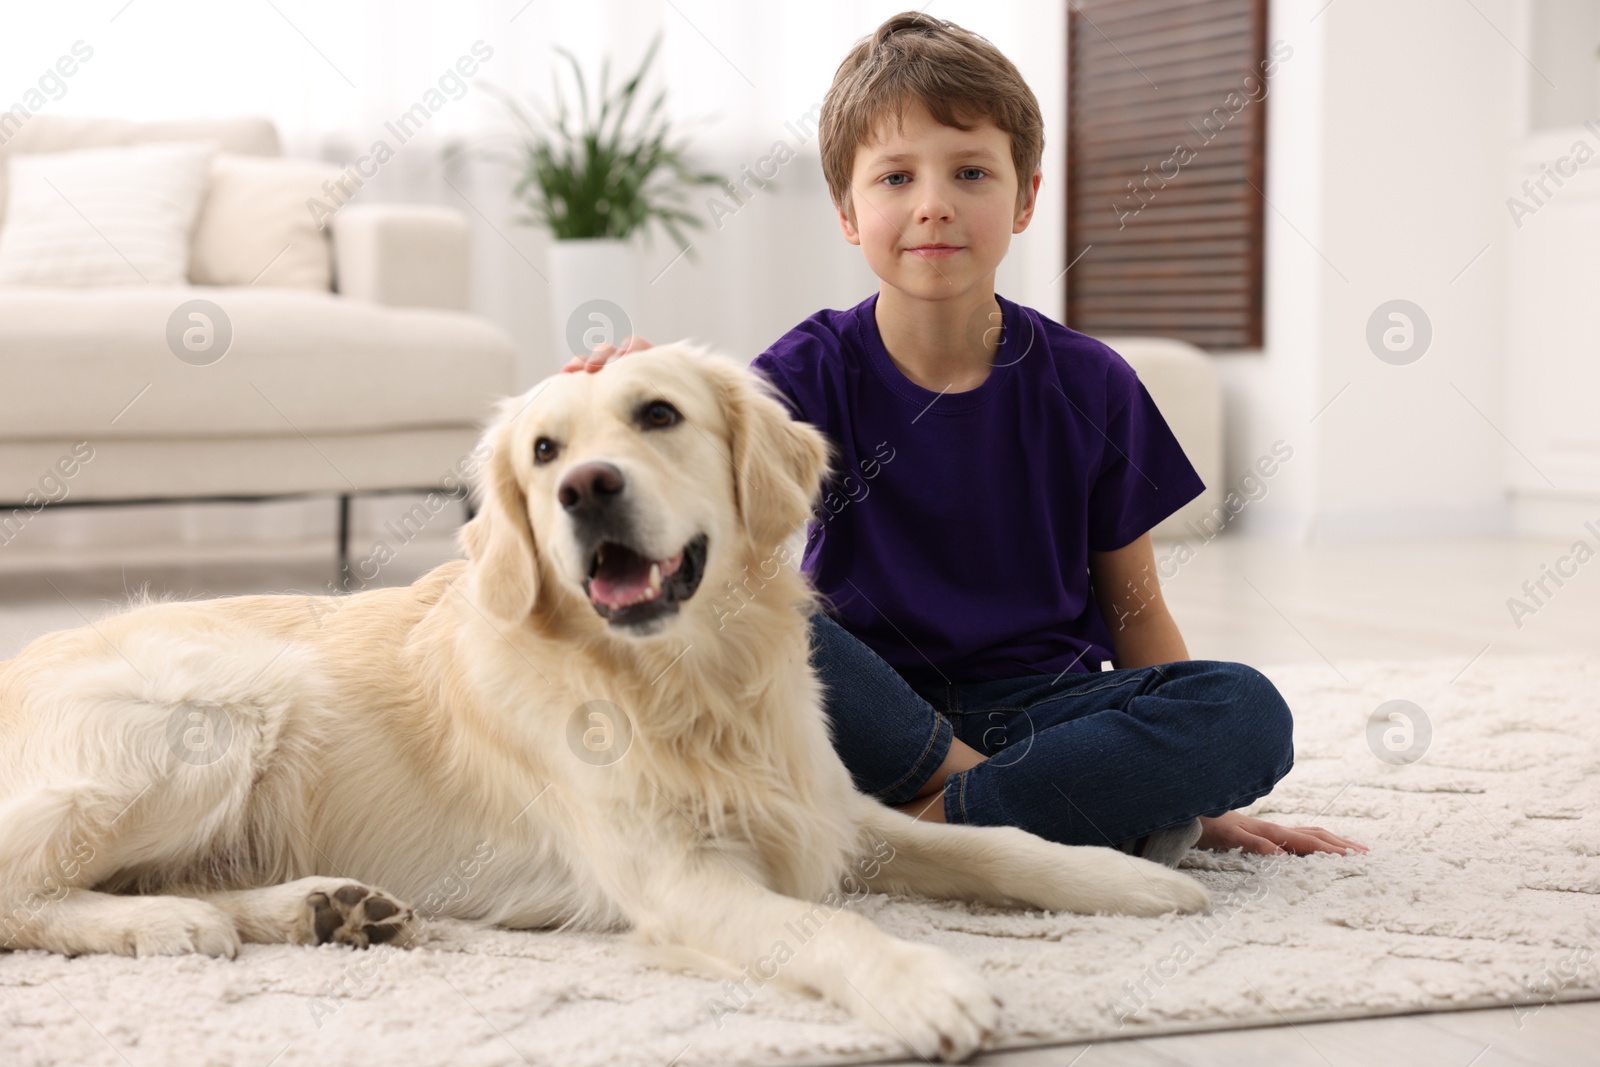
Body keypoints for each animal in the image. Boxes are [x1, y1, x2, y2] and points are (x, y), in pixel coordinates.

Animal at [0, 348, 1203, 1062]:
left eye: (657, 415)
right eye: (543, 451)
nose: (586, 487)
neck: (688, 680)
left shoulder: (822, 806)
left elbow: (992, 841)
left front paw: (1127, 879)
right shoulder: (674, 876)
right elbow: (820, 923)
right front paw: (924, 984)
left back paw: (325, 907)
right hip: (223, 707)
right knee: (29, 886)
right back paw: (166, 920)